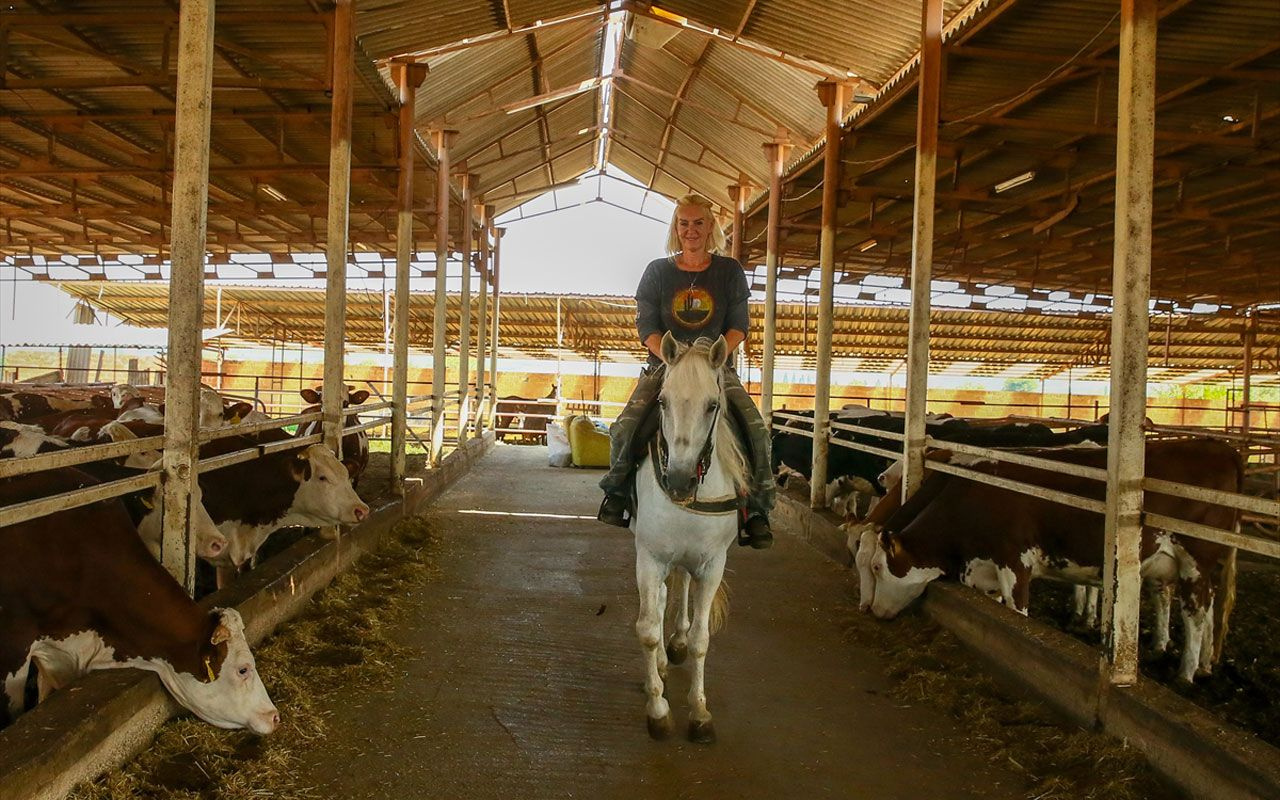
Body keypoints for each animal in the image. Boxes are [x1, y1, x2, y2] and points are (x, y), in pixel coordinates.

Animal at [632, 332, 747, 742]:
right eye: (662, 401)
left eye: (712, 405)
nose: (679, 481)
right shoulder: (649, 557)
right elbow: (648, 629)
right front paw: (657, 710)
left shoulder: (713, 564)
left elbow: (701, 640)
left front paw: (699, 713)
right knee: (666, 594)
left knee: (680, 589)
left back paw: (677, 644)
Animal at [860, 440, 1239, 680]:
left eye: (877, 567)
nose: (873, 611)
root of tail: (1220, 447)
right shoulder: (980, 568)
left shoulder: (1014, 562)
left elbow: (1018, 612)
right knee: (1195, 604)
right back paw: (1193, 661)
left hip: (1196, 557)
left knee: (1196, 613)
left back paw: (1185, 674)